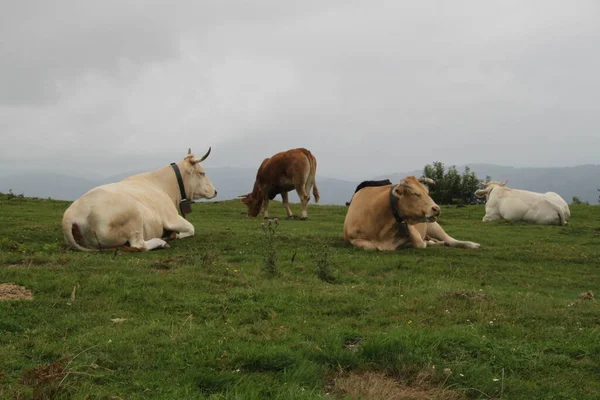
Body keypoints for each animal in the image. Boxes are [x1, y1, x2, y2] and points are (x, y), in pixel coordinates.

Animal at [62, 148, 217, 252]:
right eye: (202, 173)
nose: (215, 191)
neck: (165, 186)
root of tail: (72, 214)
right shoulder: (171, 217)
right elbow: (191, 228)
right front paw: (175, 235)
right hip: (134, 215)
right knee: (139, 244)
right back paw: (161, 242)